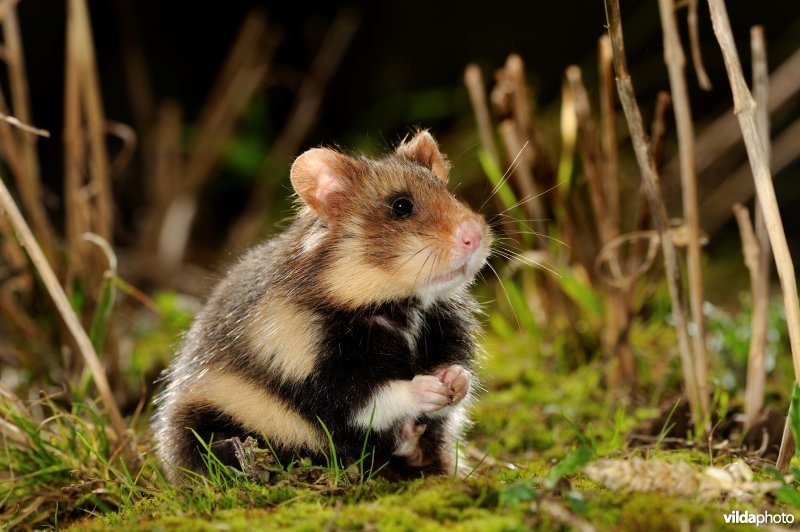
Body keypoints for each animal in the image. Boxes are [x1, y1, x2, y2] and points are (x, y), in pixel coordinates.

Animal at [153, 130, 491, 481]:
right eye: (401, 206)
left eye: (450, 192)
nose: (476, 236)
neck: (399, 306)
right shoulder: (320, 374)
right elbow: (371, 399)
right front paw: (430, 389)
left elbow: (458, 376)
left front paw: (455, 381)